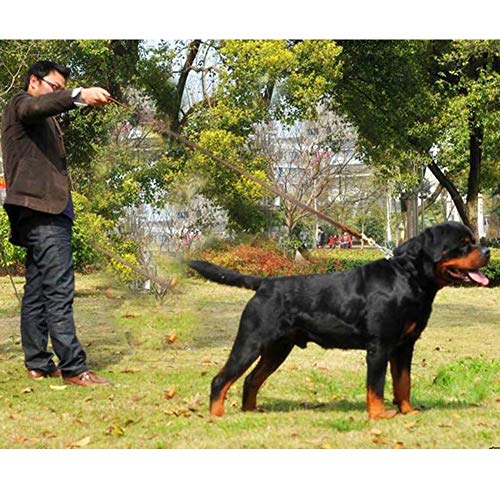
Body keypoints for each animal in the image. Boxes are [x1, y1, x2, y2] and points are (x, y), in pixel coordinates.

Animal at [189, 222, 490, 418]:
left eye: (474, 242)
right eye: (463, 246)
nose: (487, 252)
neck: (407, 277)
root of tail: (265, 283)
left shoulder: (405, 345)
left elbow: (403, 382)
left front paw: (407, 411)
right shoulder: (380, 347)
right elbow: (376, 385)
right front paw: (379, 416)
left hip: (278, 348)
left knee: (252, 379)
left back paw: (252, 411)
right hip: (251, 341)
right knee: (221, 379)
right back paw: (217, 415)